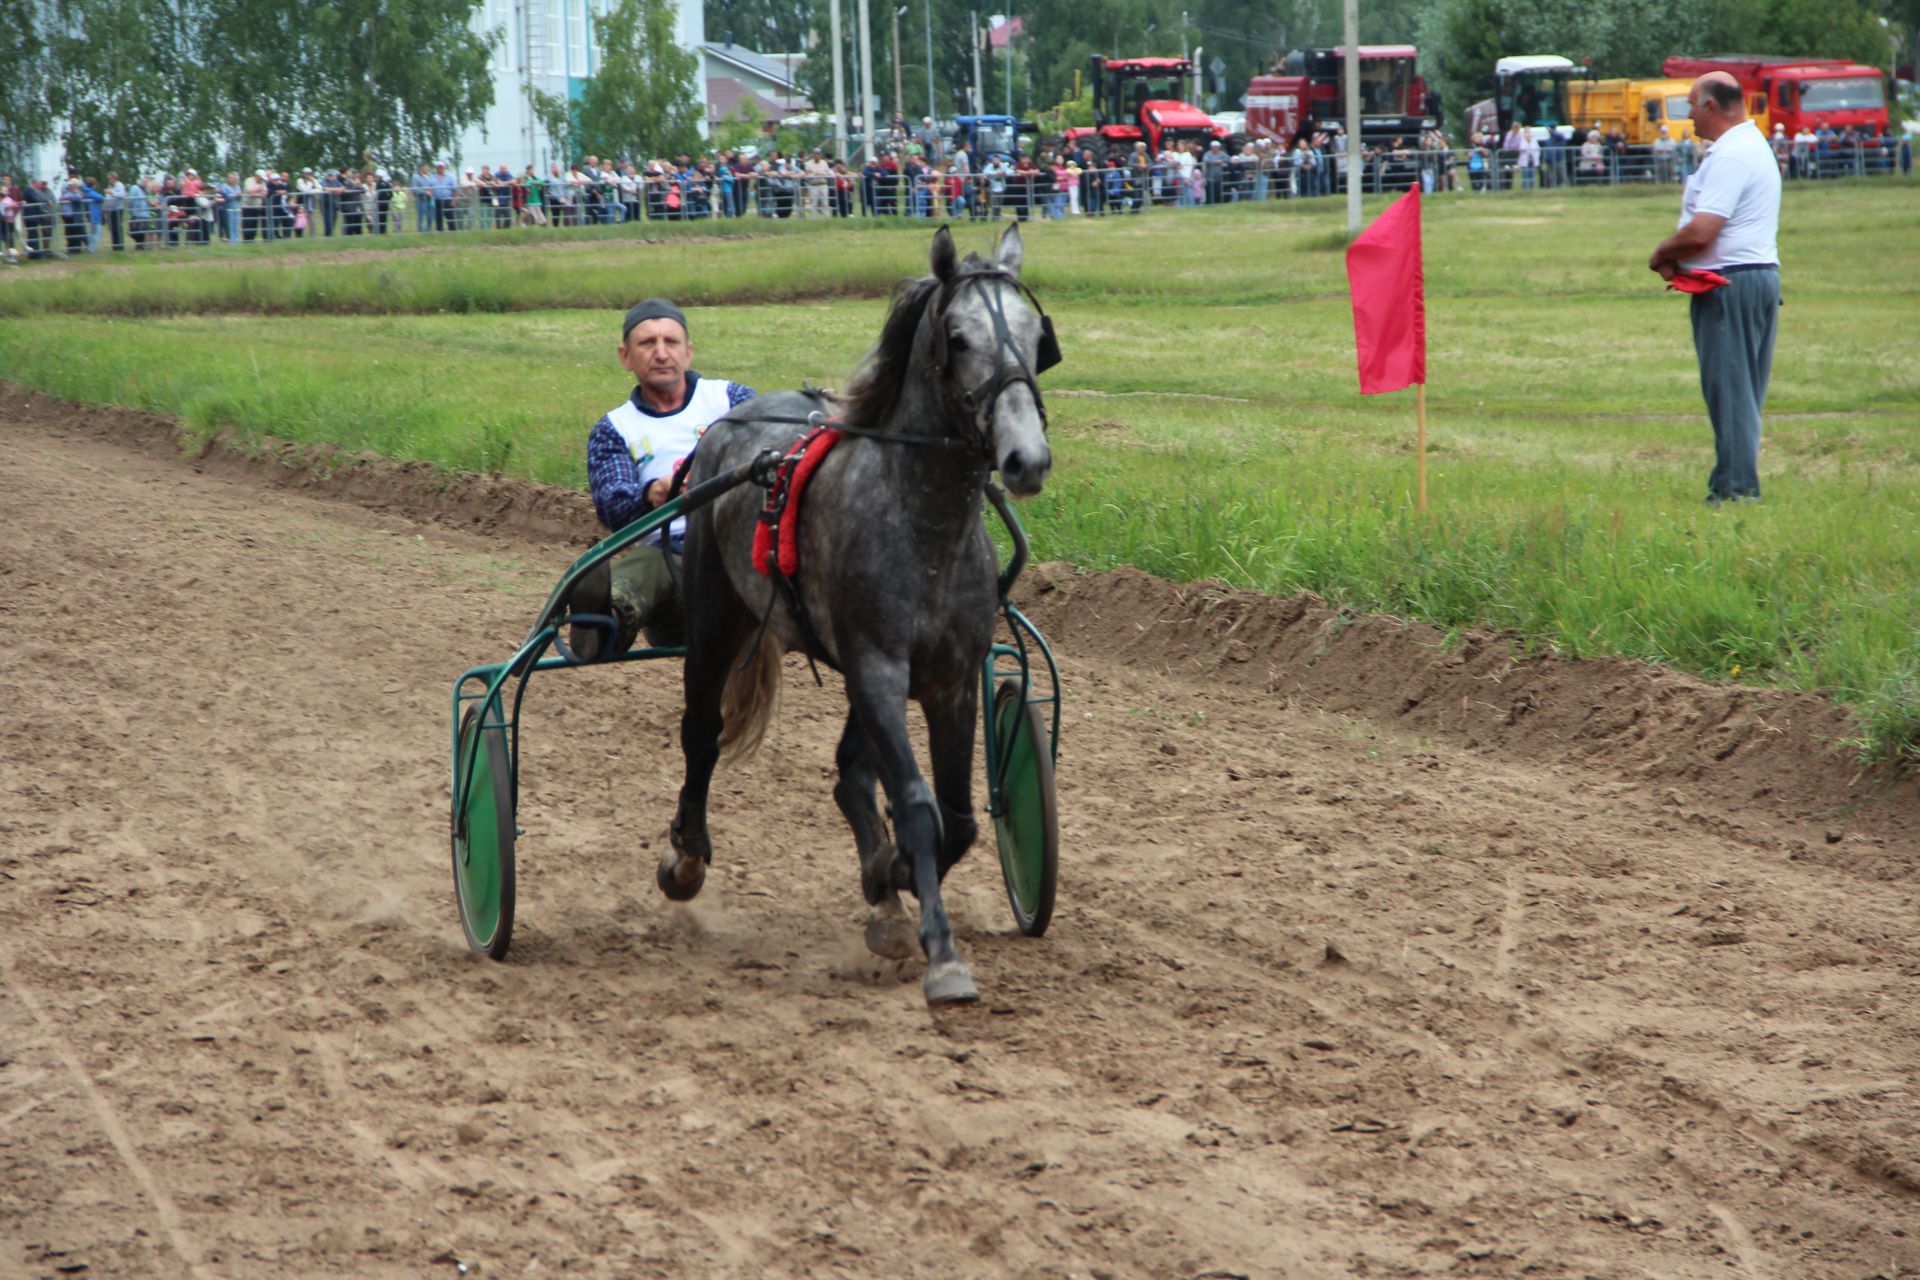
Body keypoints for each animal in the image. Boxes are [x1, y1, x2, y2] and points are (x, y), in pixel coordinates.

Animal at [656, 227, 1052, 1013]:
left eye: (1033, 333)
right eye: (958, 338)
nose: (1026, 459)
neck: (923, 526)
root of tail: (726, 423)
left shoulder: (949, 680)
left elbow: (958, 819)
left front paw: (889, 877)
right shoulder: (876, 671)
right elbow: (920, 806)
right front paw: (941, 953)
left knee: (848, 772)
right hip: (714, 621)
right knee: (701, 733)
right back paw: (687, 856)